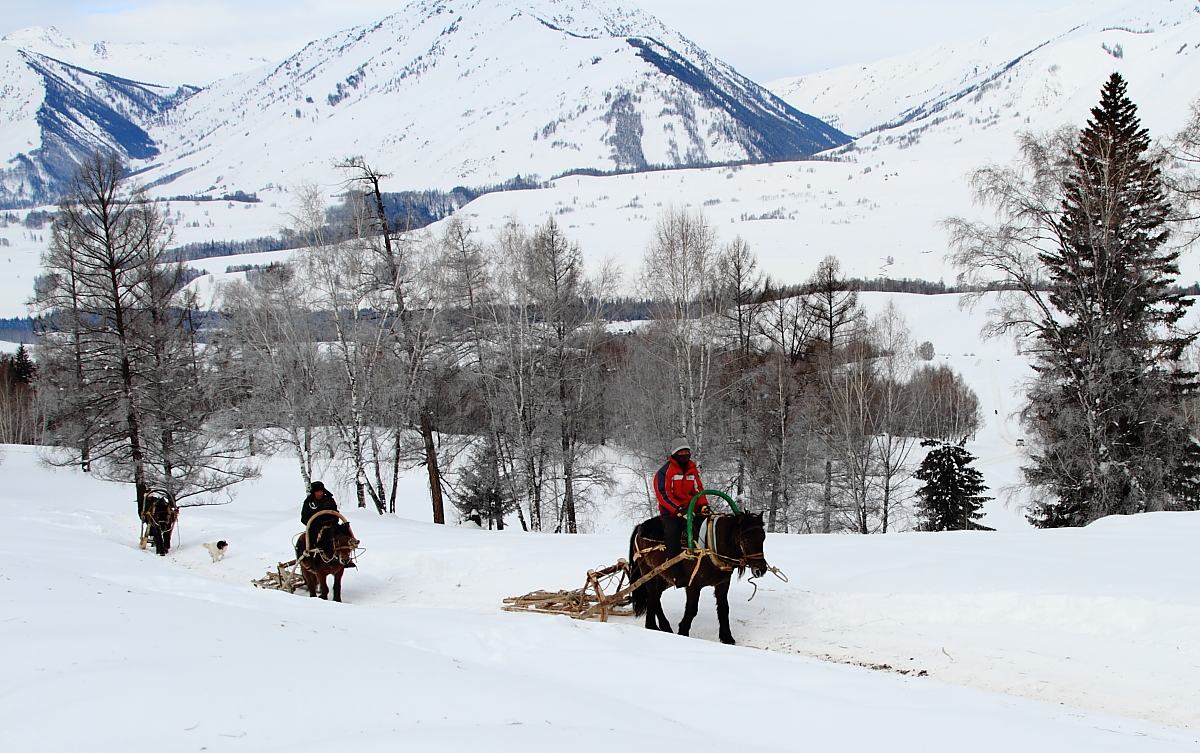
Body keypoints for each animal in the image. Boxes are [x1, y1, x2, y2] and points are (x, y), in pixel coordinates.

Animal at [628, 508, 768, 642]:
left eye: (763, 537)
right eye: (745, 539)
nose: (761, 569)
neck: (711, 544)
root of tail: (640, 527)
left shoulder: (722, 584)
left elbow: (724, 609)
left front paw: (727, 637)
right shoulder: (693, 586)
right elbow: (692, 610)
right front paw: (683, 631)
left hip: (662, 577)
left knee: (653, 597)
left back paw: (652, 625)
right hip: (648, 572)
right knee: (653, 596)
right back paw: (662, 626)